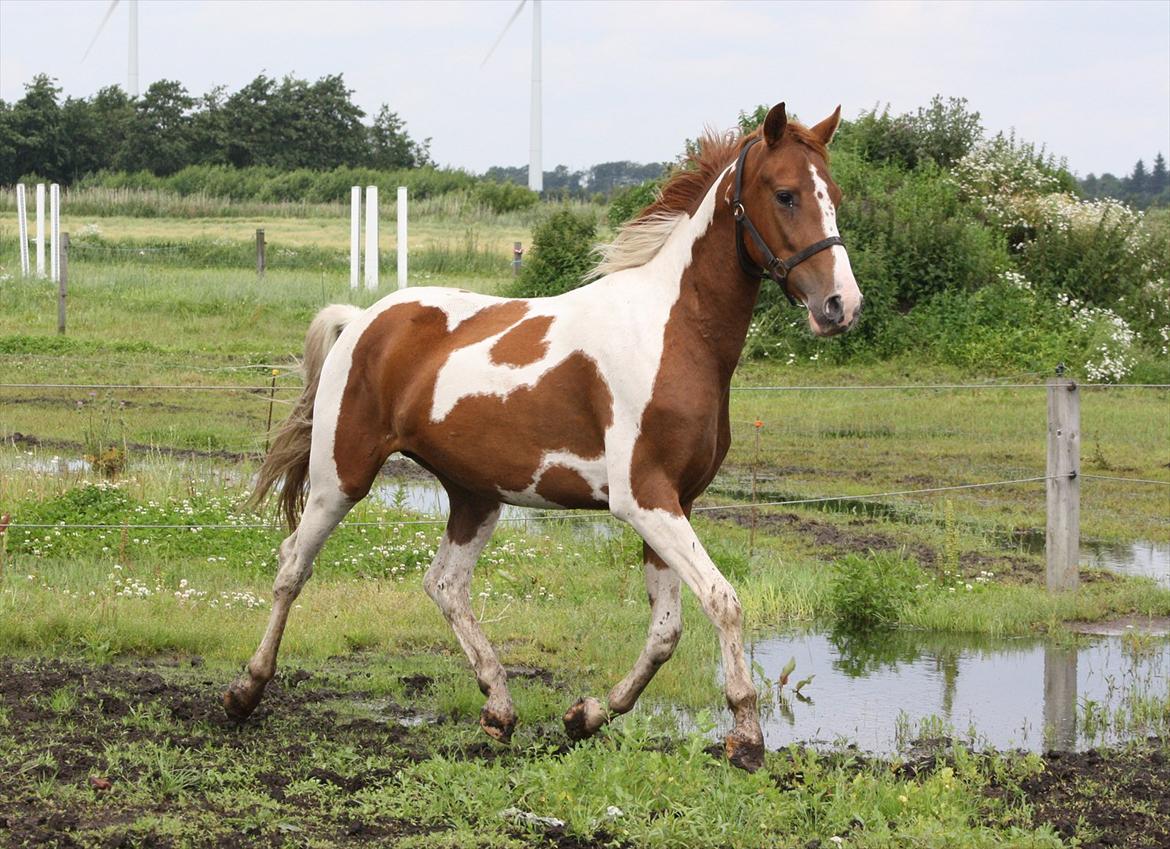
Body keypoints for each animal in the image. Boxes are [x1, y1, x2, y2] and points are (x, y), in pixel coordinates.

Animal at [228, 102, 865, 776]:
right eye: (786, 194)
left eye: (835, 196)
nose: (840, 305)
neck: (674, 332)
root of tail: (363, 320)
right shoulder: (645, 500)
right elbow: (723, 600)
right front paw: (746, 736)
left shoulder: (677, 503)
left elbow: (665, 631)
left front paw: (585, 715)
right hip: (341, 478)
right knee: (293, 564)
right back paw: (245, 691)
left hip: (475, 495)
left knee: (445, 585)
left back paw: (499, 708)